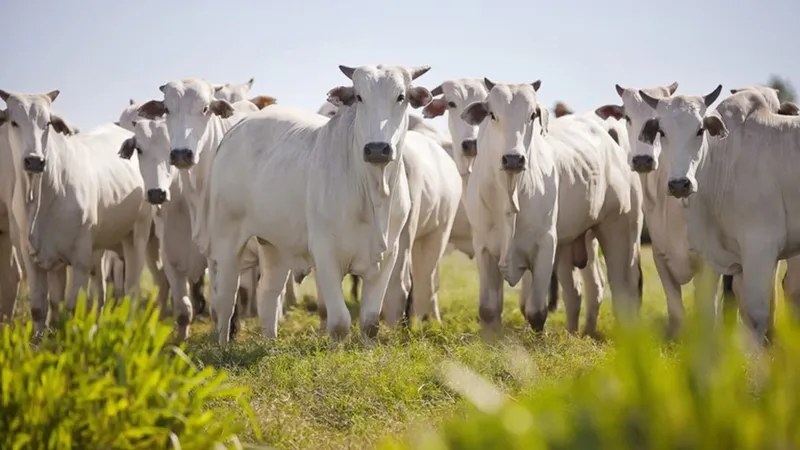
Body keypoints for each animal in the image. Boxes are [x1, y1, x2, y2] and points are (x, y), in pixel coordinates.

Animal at [0, 89, 155, 320]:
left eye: (47, 123)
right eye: (14, 122)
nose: (34, 160)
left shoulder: (80, 259)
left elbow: (71, 309)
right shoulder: (36, 259)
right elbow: (44, 308)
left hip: (137, 235)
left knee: (131, 290)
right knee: (101, 291)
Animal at [460, 78, 640, 330]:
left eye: (532, 115)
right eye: (492, 114)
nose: (513, 159)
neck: (509, 193)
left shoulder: (545, 245)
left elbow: (536, 312)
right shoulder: (484, 247)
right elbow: (488, 310)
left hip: (621, 231)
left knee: (623, 290)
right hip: (574, 242)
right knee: (581, 291)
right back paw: (579, 332)